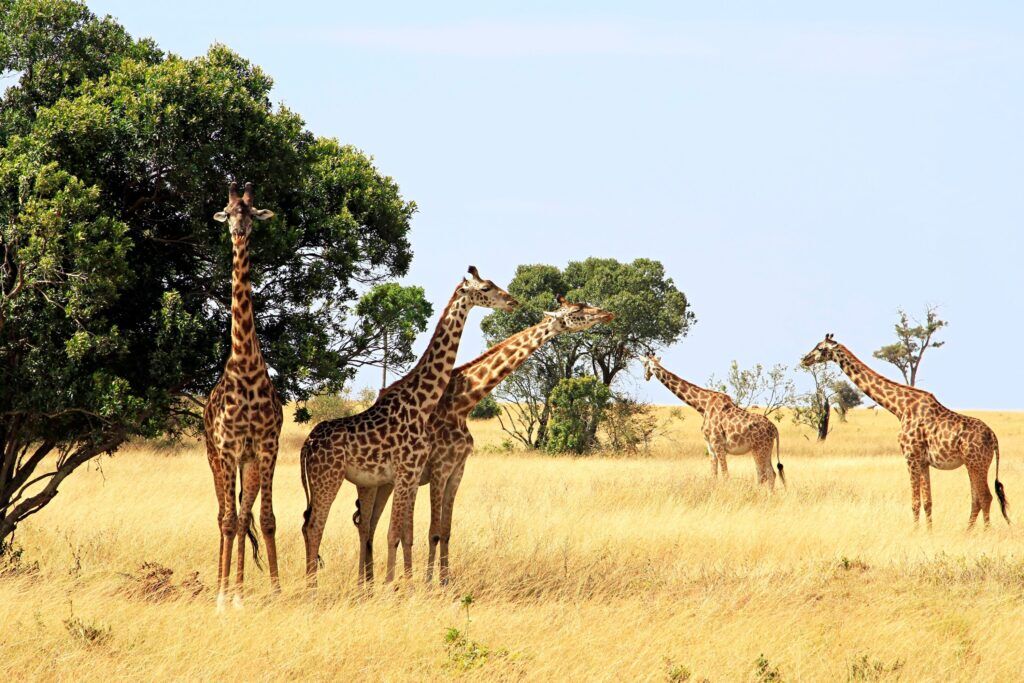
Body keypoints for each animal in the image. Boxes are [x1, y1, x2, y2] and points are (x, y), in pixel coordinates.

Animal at [300, 266, 519, 587]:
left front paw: (404, 584)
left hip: (347, 482)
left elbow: (405, 533)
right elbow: (397, 533)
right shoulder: (408, 471)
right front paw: (396, 586)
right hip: (329, 478)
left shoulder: (412, 475)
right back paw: (314, 588)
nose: (512, 301)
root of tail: (307, 446)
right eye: (486, 288)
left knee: (321, 525)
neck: (421, 403)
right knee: (316, 526)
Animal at [361, 296, 614, 584]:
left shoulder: (458, 470)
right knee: (367, 524)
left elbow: (445, 531)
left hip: (392, 482)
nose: (607, 313)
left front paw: (445, 582)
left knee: (371, 524)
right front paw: (428, 583)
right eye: (577, 310)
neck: (462, 403)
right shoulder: (439, 468)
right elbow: (433, 532)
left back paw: (372, 581)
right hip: (382, 480)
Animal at [642, 356, 784, 487]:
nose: (646, 376)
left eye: (644, 364)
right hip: (767, 448)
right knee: (771, 473)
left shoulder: (718, 445)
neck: (702, 406)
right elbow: (713, 475)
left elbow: (725, 475)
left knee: (763, 475)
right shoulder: (710, 446)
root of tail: (775, 429)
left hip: (758, 448)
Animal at [801, 334, 1009, 529]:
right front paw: (929, 532)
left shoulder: (910, 457)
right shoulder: (923, 461)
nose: (804, 359)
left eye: (820, 348)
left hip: (976, 462)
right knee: (977, 499)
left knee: (985, 497)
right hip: (972, 464)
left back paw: (984, 532)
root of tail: (994, 437)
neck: (899, 408)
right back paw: (967, 531)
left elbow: (915, 502)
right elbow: (928, 502)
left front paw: (915, 532)